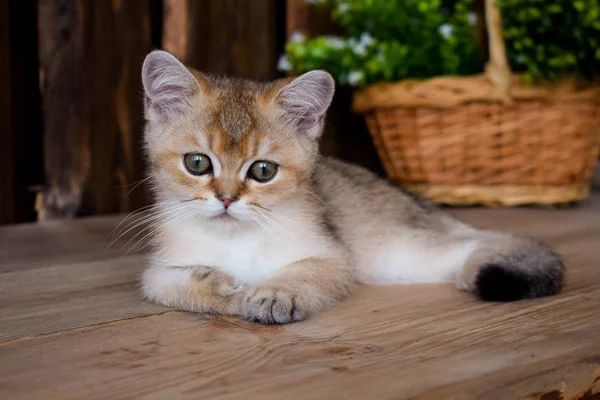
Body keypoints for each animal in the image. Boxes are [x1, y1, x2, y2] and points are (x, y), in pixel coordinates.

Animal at [139, 50, 564, 324]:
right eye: (197, 163)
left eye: (262, 171)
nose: (226, 199)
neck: (235, 237)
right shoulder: (158, 269)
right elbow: (166, 286)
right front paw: (222, 288)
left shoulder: (337, 257)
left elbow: (307, 271)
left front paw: (277, 293)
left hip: (394, 253)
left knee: (476, 242)